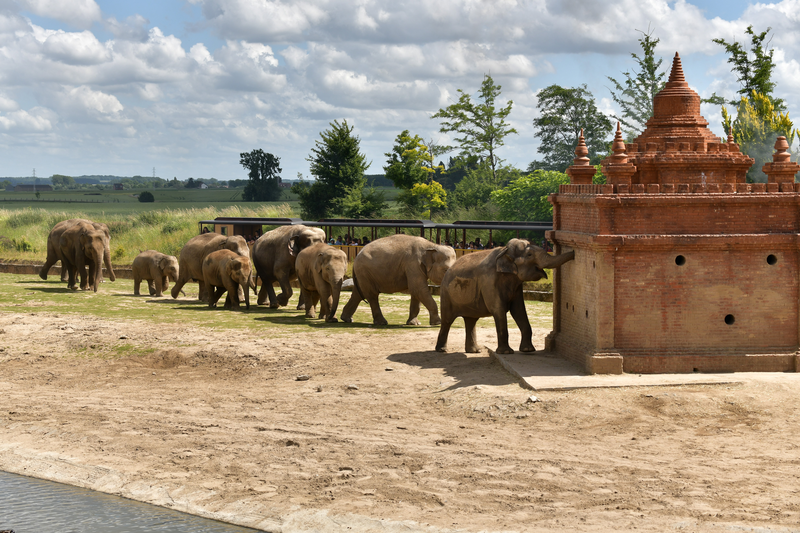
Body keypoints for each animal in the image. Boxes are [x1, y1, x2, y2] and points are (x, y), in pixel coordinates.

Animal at [438, 239, 576, 356]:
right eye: (529, 255)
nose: (574, 253)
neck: (504, 250)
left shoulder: (517, 285)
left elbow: (519, 310)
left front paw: (528, 350)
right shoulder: (489, 280)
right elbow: (499, 310)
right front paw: (506, 352)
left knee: (471, 320)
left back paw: (474, 351)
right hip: (446, 295)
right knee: (447, 320)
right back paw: (442, 350)